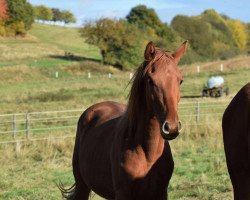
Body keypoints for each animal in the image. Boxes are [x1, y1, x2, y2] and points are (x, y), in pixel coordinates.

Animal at [60, 41, 188, 200]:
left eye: (180, 80)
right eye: (150, 80)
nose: (171, 127)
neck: (147, 154)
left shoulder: (161, 193)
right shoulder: (123, 193)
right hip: (82, 185)